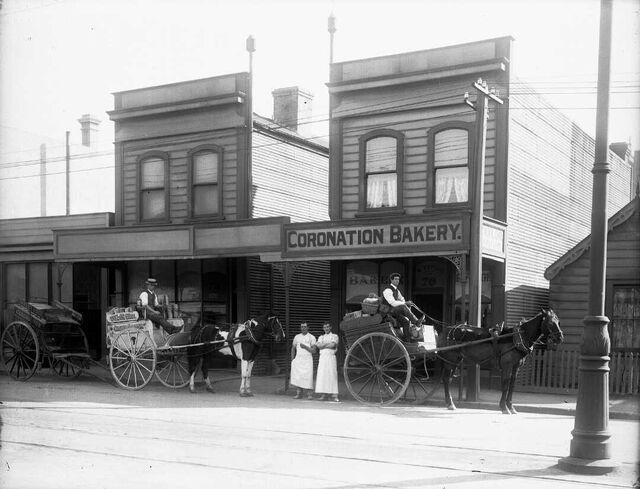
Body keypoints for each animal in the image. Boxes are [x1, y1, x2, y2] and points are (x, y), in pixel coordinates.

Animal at [436, 308, 564, 412]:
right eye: (550, 323)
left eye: (558, 322)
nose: (560, 338)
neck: (517, 337)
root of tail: (448, 330)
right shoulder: (507, 365)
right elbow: (506, 384)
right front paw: (504, 407)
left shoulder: (516, 365)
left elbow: (512, 385)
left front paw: (511, 406)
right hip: (450, 359)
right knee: (446, 379)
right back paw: (450, 403)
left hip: (455, 361)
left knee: (448, 379)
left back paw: (450, 403)